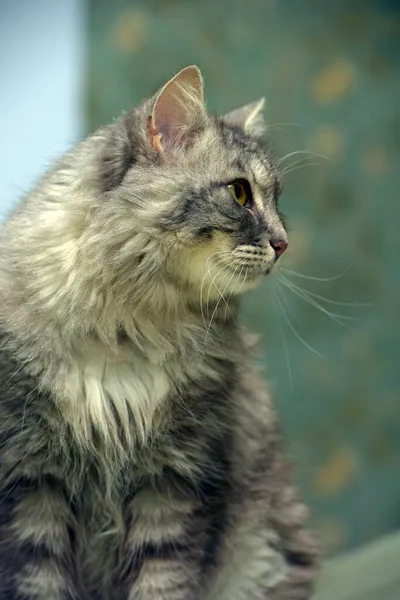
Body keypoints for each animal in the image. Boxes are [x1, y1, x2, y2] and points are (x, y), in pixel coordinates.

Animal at [0, 65, 318, 600]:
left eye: (277, 200)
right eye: (240, 193)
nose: (283, 243)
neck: (127, 329)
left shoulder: (176, 476)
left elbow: (163, 580)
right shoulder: (28, 478)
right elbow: (39, 581)